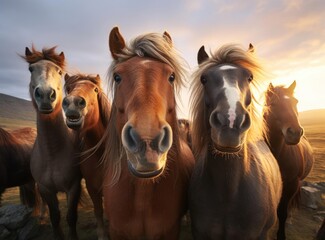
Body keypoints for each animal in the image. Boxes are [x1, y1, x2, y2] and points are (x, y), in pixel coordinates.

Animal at [21, 46, 81, 239]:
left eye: (59, 71)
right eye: (31, 69)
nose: (46, 95)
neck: (52, 152)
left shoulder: (73, 186)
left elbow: (71, 217)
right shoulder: (45, 188)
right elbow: (55, 217)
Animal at [62, 73, 110, 240]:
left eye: (95, 89)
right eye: (69, 88)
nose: (73, 103)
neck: (101, 153)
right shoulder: (92, 187)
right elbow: (98, 211)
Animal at [95, 27, 192, 239]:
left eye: (171, 76)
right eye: (117, 77)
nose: (147, 143)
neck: (142, 195)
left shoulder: (170, 230)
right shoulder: (116, 230)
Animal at [264, 81, 314, 239]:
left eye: (295, 102)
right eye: (273, 104)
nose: (295, 132)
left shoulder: (291, 184)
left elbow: (282, 212)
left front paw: (281, 234)